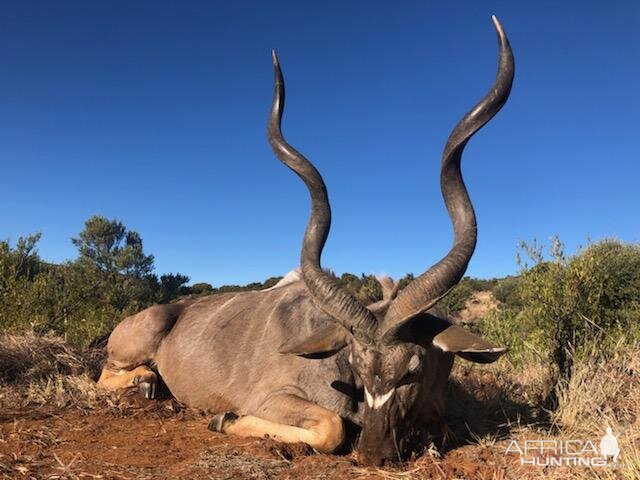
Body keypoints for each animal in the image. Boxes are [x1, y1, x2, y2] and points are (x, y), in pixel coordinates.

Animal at [96, 17, 516, 464]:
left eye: (412, 371)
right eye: (356, 366)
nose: (372, 454)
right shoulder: (271, 399)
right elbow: (331, 428)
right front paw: (223, 419)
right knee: (108, 372)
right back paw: (146, 380)